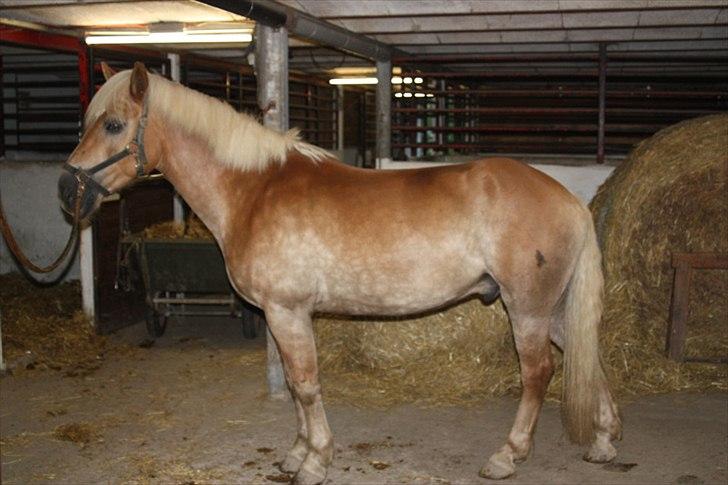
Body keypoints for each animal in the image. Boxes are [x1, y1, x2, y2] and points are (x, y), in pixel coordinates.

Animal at [59, 62, 624, 482]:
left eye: (113, 125)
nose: (68, 191)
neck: (253, 191)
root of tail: (568, 199)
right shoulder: (280, 316)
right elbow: (293, 386)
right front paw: (296, 452)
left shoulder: (287, 312)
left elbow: (306, 385)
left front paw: (315, 461)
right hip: (551, 309)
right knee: (585, 355)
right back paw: (603, 441)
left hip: (526, 308)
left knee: (538, 373)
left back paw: (508, 455)